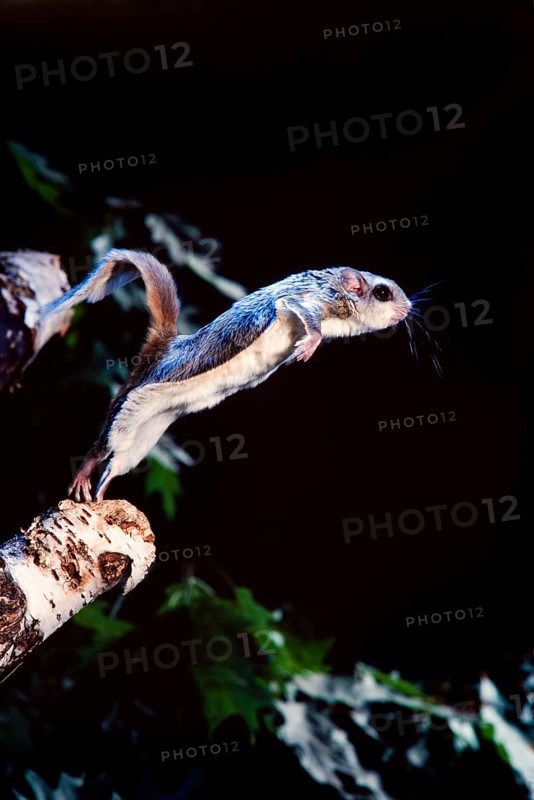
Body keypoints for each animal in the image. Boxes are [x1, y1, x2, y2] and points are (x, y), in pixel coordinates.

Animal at [42, 249, 411, 501]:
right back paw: (86, 473)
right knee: (103, 443)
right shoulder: (308, 301)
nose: (408, 309)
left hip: (152, 425)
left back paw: (103, 489)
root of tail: (166, 344)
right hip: (134, 402)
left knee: (118, 462)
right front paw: (308, 346)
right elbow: (306, 316)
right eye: (383, 292)